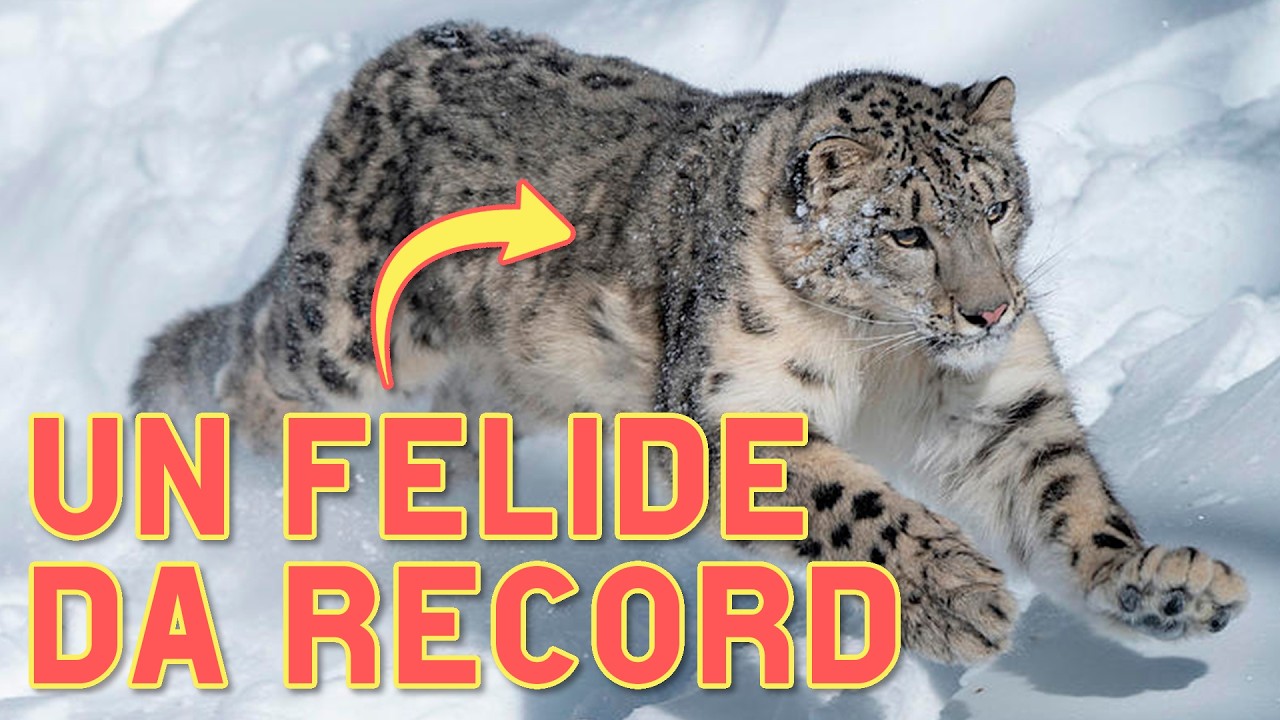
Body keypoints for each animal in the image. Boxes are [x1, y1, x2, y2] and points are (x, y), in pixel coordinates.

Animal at [132, 21, 1248, 666]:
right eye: (907, 232)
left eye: (998, 203)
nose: (988, 312)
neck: (884, 363)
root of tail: (381, 67)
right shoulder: (737, 408)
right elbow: (856, 505)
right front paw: (957, 596)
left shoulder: (999, 404)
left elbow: (1065, 496)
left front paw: (1159, 585)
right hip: (344, 348)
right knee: (253, 391)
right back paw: (250, 514)